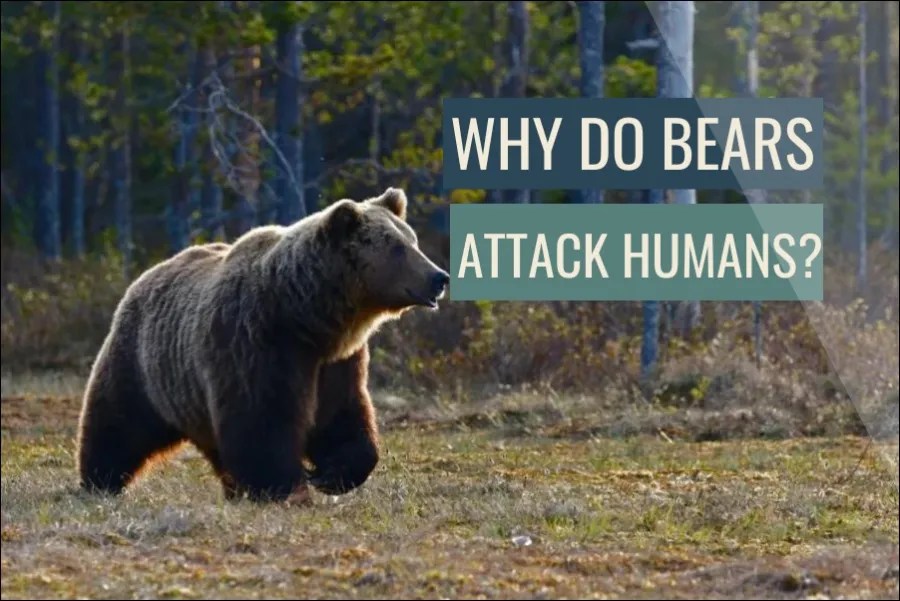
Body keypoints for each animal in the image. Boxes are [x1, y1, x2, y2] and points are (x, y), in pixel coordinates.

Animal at [76, 188, 449, 504]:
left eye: (412, 240)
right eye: (397, 247)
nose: (439, 277)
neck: (306, 317)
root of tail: (147, 274)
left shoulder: (336, 361)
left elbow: (342, 415)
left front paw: (330, 474)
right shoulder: (256, 342)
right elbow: (262, 421)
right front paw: (285, 486)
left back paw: (232, 488)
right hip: (143, 363)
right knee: (118, 421)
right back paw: (100, 480)